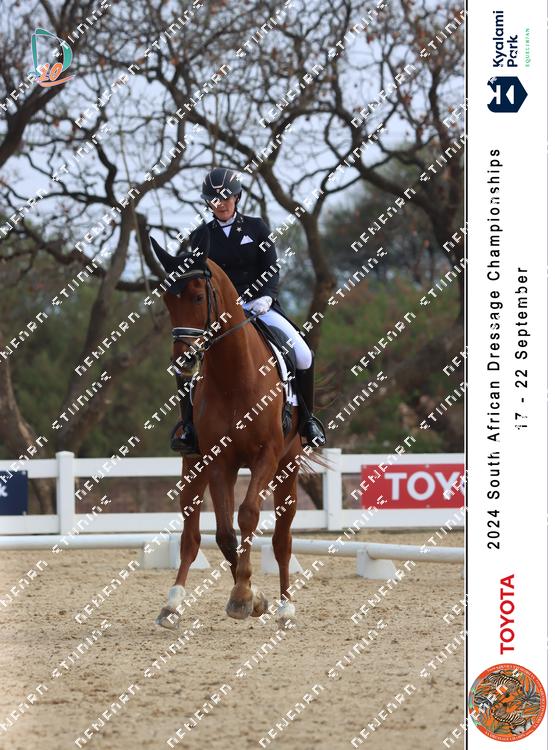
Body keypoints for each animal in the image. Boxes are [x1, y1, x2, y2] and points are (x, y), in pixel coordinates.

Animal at [150, 235, 322, 629]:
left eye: (198, 297)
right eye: (167, 299)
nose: (183, 362)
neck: (234, 376)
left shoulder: (267, 456)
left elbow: (247, 516)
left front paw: (246, 596)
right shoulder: (218, 461)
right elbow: (226, 533)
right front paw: (249, 596)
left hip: (288, 467)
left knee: (282, 538)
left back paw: (286, 607)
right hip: (193, 466)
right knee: (190, 536)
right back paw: (173, 604)